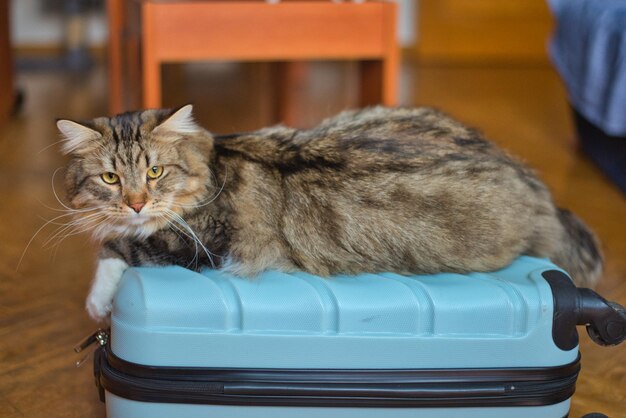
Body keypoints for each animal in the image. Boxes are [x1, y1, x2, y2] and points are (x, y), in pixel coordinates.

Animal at [57, 104, 600, 320]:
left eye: (154, 173)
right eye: (110, 179)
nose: (135, 202)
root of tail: (526, 174)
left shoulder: (198, 242)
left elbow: (119, 246)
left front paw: (97, 299)